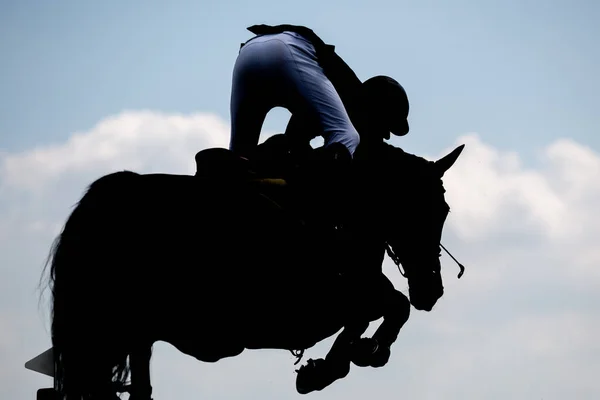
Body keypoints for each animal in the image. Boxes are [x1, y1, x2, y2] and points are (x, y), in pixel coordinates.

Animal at [39, 133, 466, 398]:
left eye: (444, 210)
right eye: (421, 209)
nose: (431, 290)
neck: (339, 211)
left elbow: (384, 308)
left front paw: (339, 362)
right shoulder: (321, 300)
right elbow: (390, 306)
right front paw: (357, 356)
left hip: (134, 333)